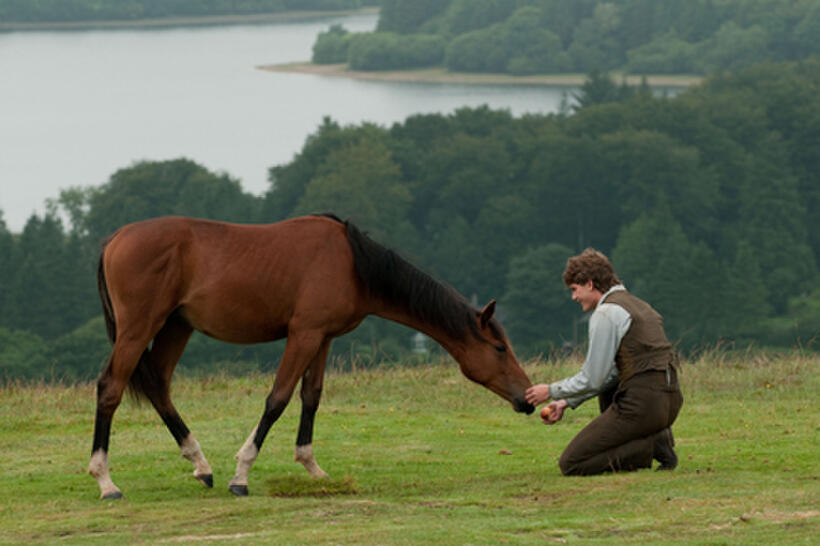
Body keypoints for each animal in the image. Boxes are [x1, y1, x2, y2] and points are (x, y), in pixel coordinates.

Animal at [89, 213, 534, 499]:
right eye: (499, 349)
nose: (527, 398)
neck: (352, 264)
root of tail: (114, 239)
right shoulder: (303, 335)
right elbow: (278, 399)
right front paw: (242, 474)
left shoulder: (323, 338)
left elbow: (311, 397)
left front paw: (312, 467)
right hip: (139, 328)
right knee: (110, 388)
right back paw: (106, 480)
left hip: (176, 327)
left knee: (159, 387)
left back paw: (201, 464)